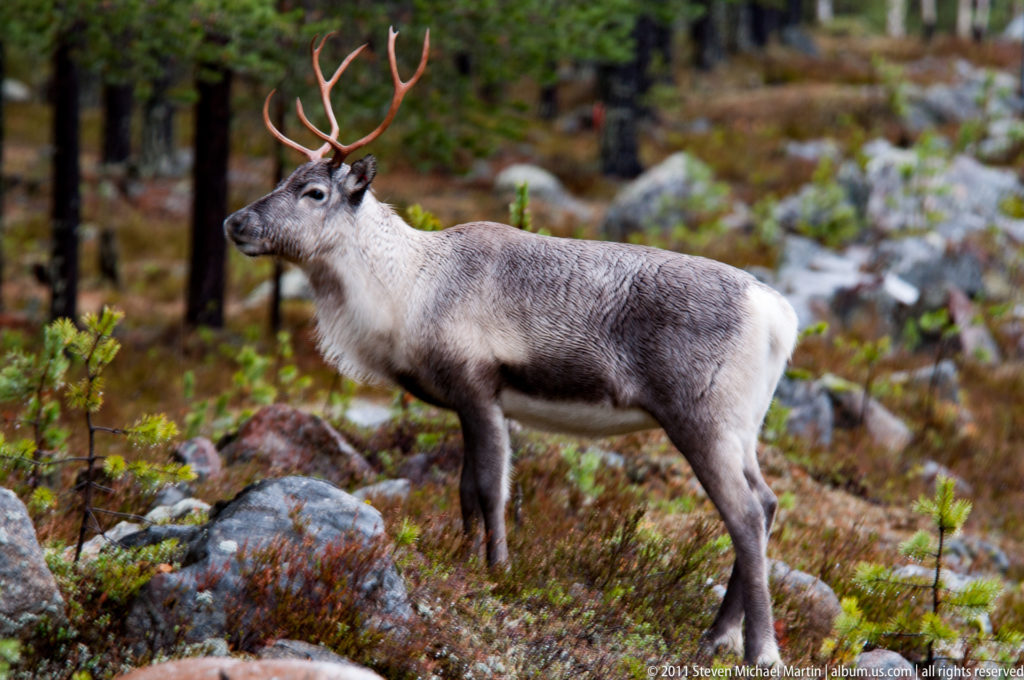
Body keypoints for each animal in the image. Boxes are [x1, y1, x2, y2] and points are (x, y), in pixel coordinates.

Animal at [224, 27, 798, 667]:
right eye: (280, 181)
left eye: (315, 191)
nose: (236, 222)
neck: (408, 290)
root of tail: (778, 315)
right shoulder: (463, 400)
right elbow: (465, 492)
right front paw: (464, 558)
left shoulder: (480, 387)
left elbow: (491, 489)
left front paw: (498, 571)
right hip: (744, 426)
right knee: (767, 502)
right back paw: (716, 636)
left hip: (702, 417)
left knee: (745, 515)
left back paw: (757, 648)